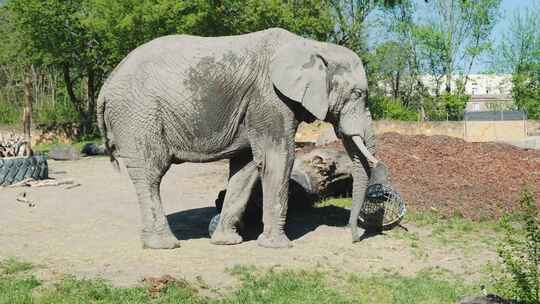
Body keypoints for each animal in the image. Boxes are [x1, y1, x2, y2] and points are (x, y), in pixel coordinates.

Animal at [97, 27, 388, 249]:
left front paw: (227, 243)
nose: (353, 237)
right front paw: (277, 246)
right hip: (137, 115)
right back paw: (164, 245)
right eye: (358, 94)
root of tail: (106, 85)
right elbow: (277, 159)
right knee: (151, 172)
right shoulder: (270, 98)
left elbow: (247, 166)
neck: (312, 45)